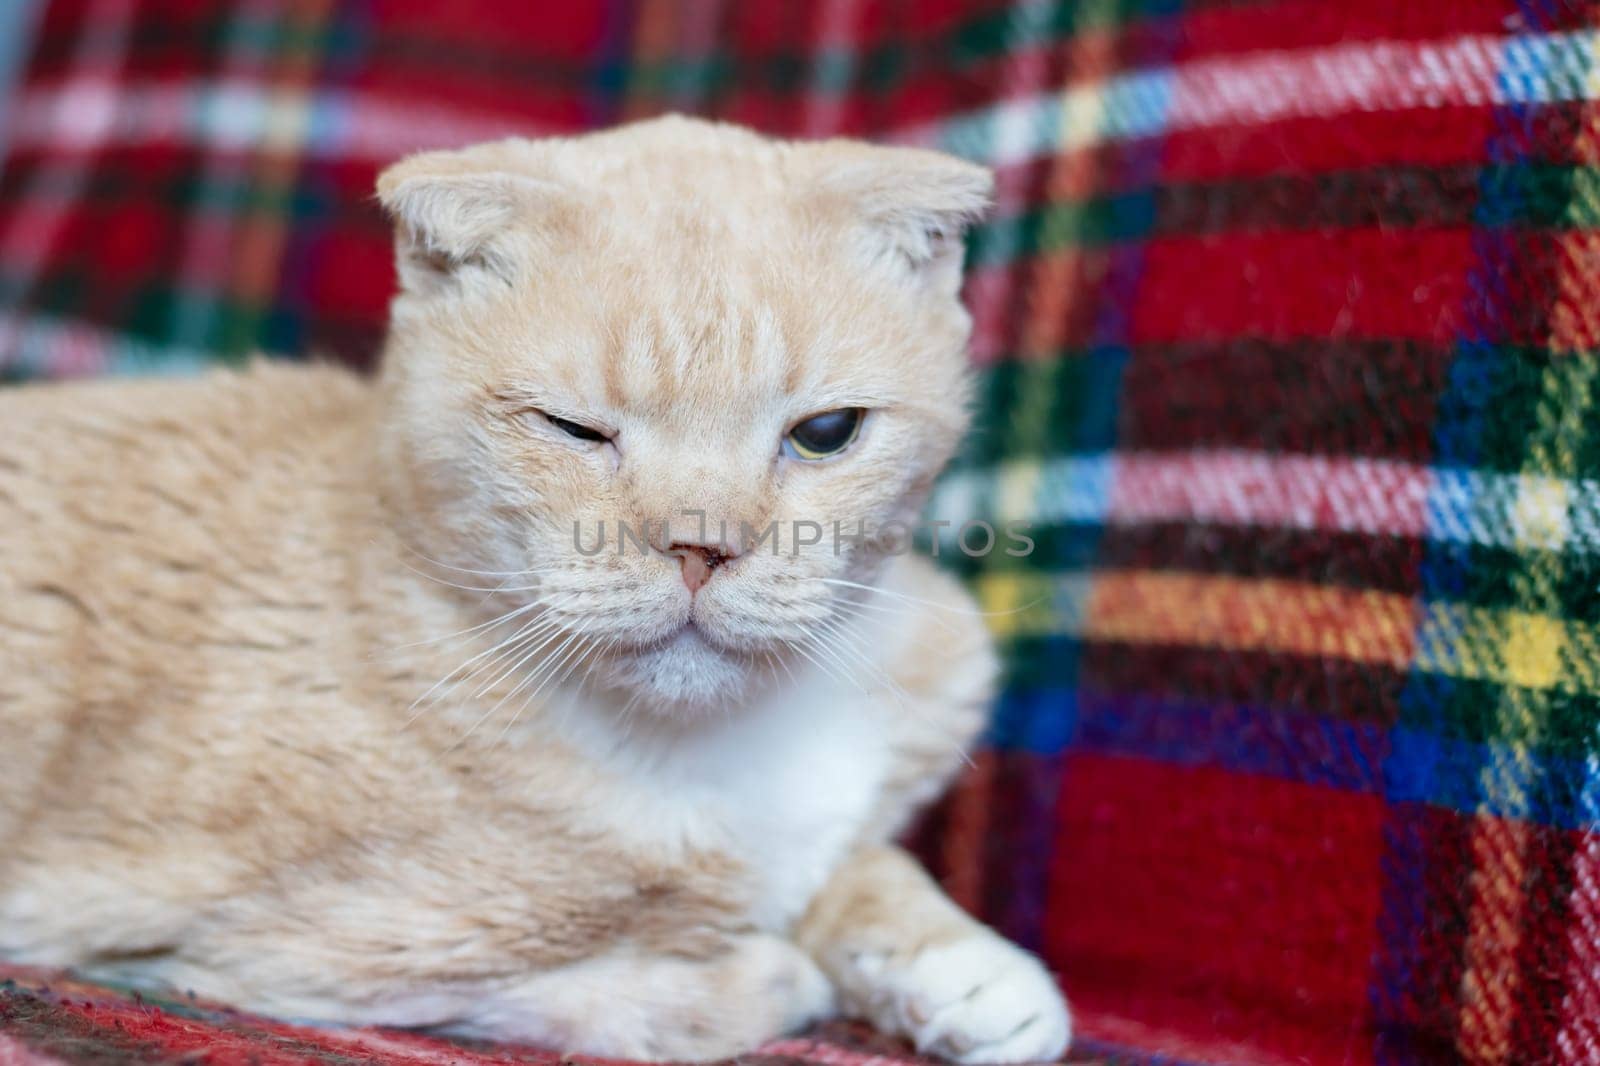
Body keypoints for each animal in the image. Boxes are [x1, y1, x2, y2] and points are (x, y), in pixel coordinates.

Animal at [3, 116, 1075, 1062]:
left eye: (824, 433)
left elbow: (860, 862)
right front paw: (769, 970)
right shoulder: (274, 947)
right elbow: (616, 993)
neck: (709, 747)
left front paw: (964, 967)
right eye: (574, 430)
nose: (701, 546)